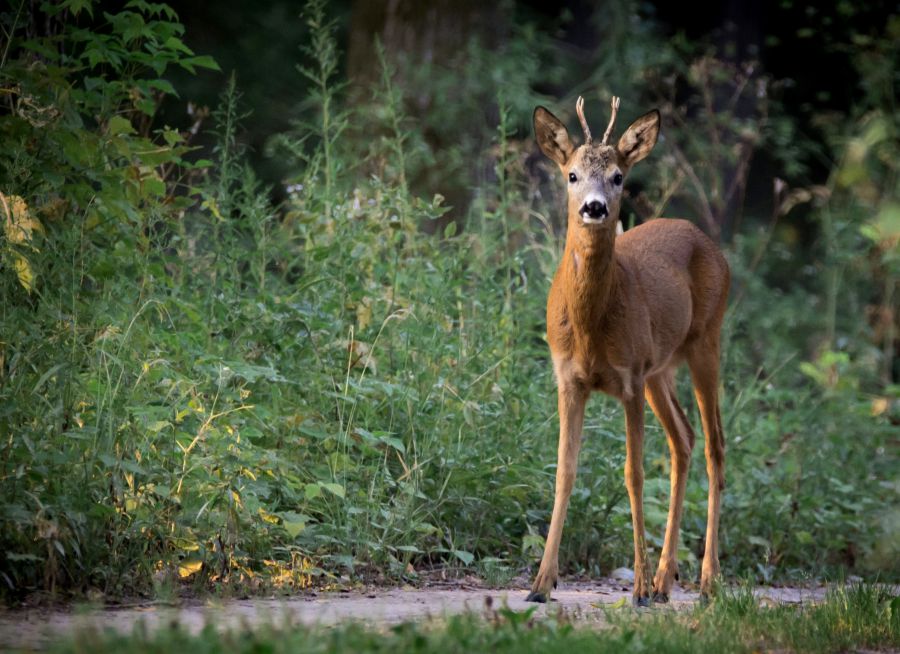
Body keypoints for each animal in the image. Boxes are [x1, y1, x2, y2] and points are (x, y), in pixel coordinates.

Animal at [528, 95, 732, 608]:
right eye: (571, 175)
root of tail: (707, 240)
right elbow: (564, 471)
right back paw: (664, 580)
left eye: (618, 176)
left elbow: (634, 474)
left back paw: (705, 580)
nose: (595, 207)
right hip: (662, 369)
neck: (590, 328)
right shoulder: (568, 378)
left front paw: (635, 587)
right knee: (684, 439)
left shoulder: (629, 377)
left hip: (705, 341)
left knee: (715, 446)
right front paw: (540, 583)